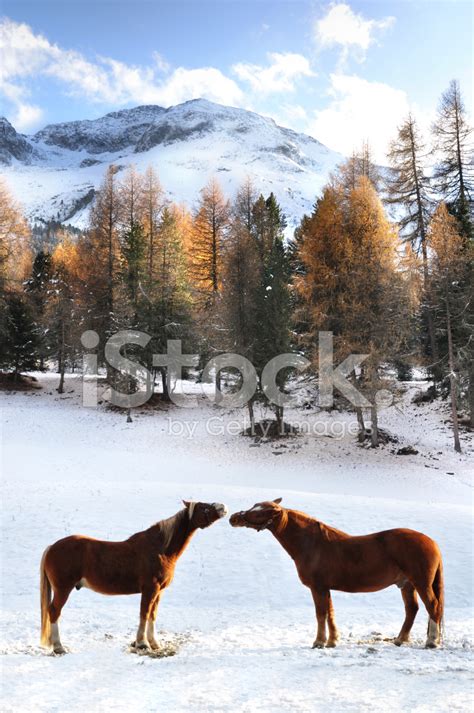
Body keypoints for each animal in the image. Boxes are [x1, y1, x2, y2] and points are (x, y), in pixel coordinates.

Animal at [39, 498, 228, 652]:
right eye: (203, 507)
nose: (223, 507)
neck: (160, 549)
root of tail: (52, 547)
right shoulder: (150, 589)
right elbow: (144, 613)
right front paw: (142, 644)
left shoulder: (158, 591)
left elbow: (152, 614)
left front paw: (154, 643)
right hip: (63, 589)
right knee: (54, 611)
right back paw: (58, 646)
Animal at [230, 498, 444, 648]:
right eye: (253, 507)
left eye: (260, 513)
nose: (234, 518)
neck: (312, 544)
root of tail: (432, 542)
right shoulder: (326, 588)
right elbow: (330, 613)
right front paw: (332, 641)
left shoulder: (318, 588)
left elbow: (321, 614)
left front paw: (319, 642)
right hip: (407, 585)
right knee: (412, 609)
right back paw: (400, 639)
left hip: (420, 583)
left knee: (432, 606)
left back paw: (431, 642)